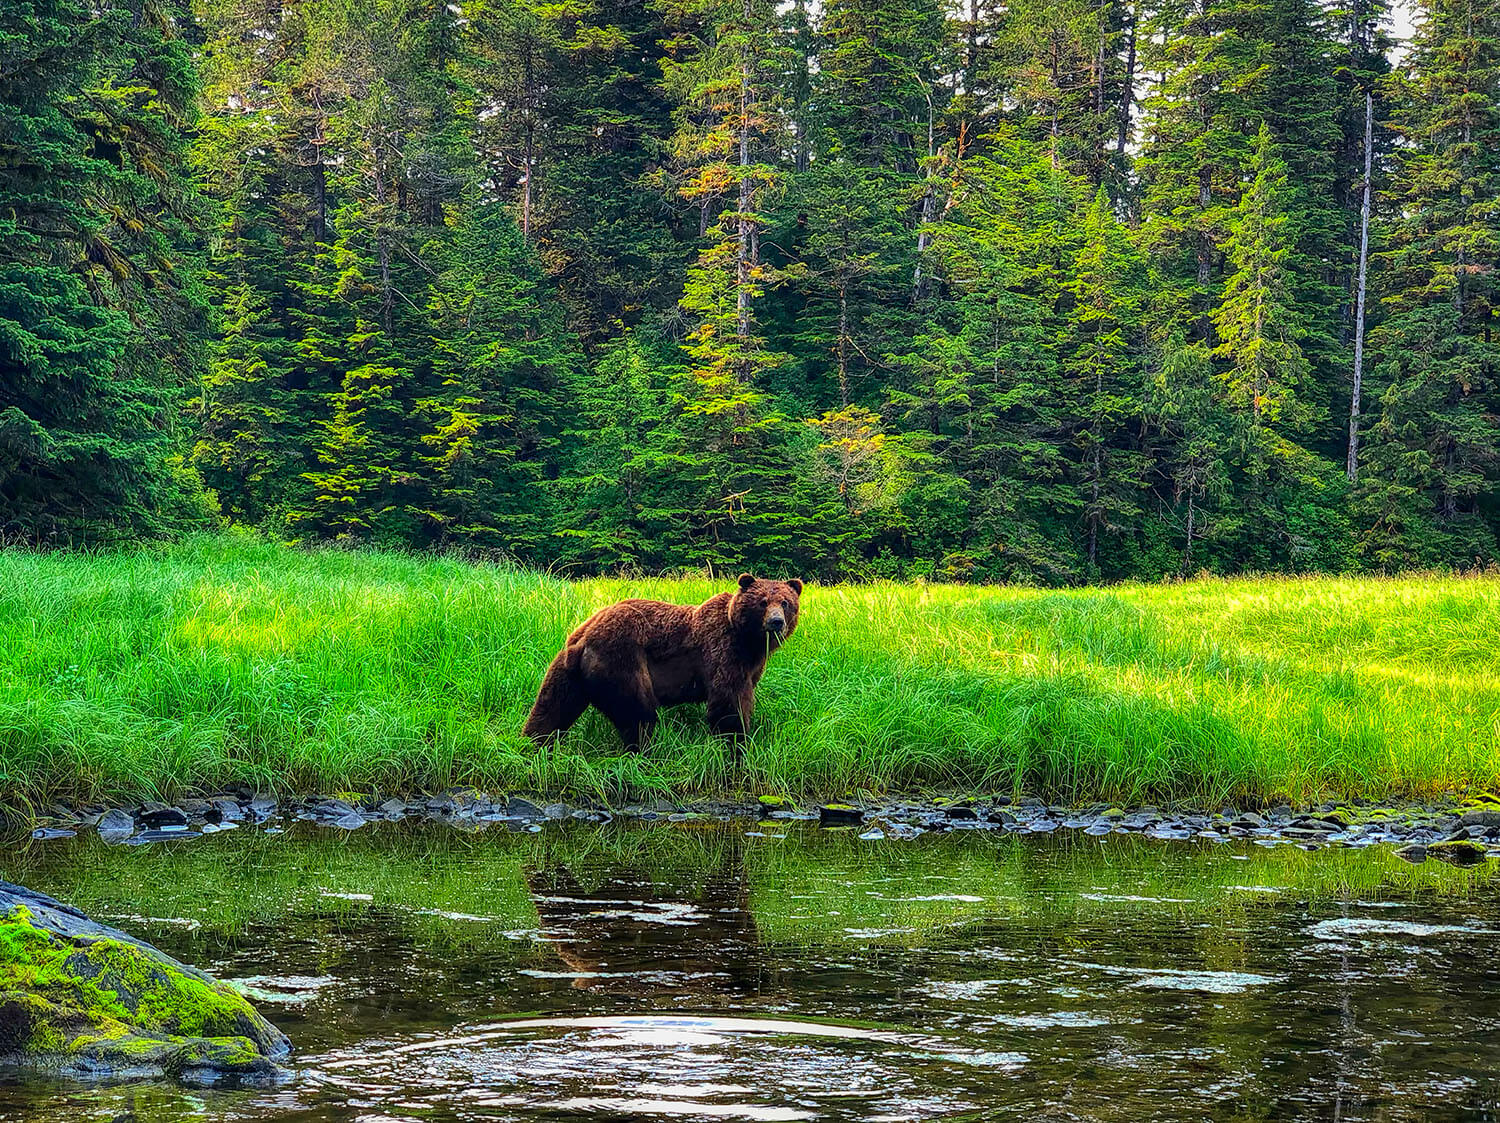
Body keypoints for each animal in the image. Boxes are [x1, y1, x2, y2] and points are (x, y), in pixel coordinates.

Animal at [525, 569, 804, 752]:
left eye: (786, 602)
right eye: (763, 602)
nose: (776, 622)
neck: (749, 642)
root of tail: (583, 639)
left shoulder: (751, 664)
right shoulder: (722, 650)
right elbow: (729, 700)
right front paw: (738, 741)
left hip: (566, 670)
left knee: (552, 706)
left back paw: (534, 741)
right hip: (621, 660)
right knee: (638, 712)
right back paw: (644, 749)